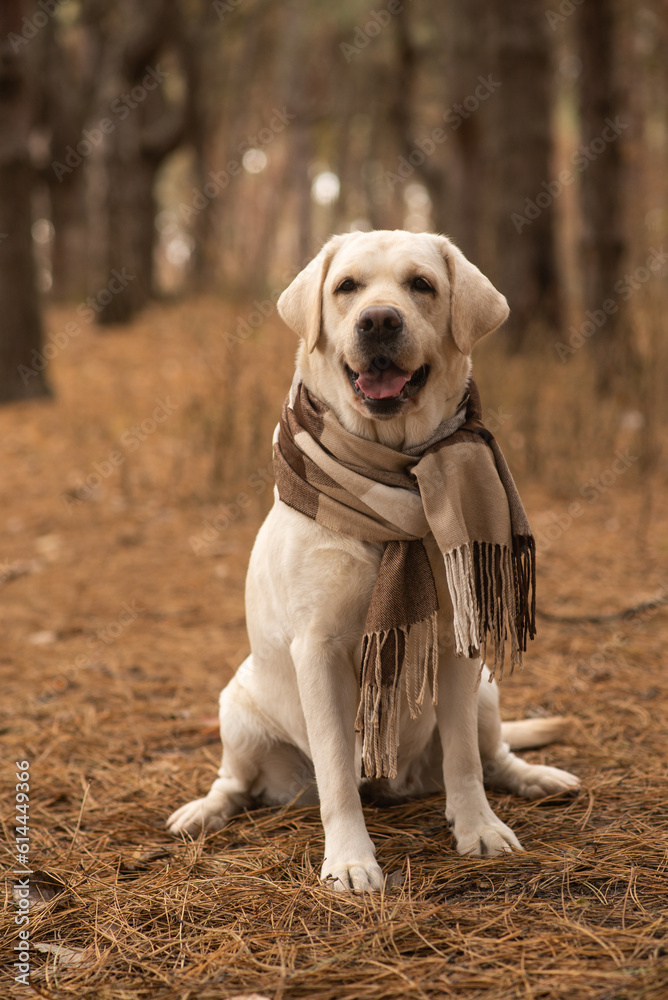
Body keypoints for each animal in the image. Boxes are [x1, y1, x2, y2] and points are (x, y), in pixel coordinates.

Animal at [168, 230, 580, 888]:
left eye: (422, 285)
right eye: (347, 287)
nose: (380, 320)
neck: (388, 473)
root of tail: (398, 784)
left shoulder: (454, 641)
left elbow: (464, 759)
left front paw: (478, 829)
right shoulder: (319, 649)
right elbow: (338, 769)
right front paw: (350, 861)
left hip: (487, 691)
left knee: (494, 756)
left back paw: (536, 778)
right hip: (237, 710)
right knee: (233, 782)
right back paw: (202, 811)